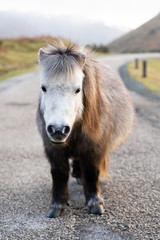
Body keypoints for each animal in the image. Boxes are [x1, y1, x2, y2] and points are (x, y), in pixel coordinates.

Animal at [36, 39, 135, 218]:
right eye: (43, 88)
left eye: (77, 89)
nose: (58, 130)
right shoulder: (53, 149)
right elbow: (59, 173)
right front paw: (57, 205)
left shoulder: (94, 147)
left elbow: (91, 171)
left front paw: (95, 203)